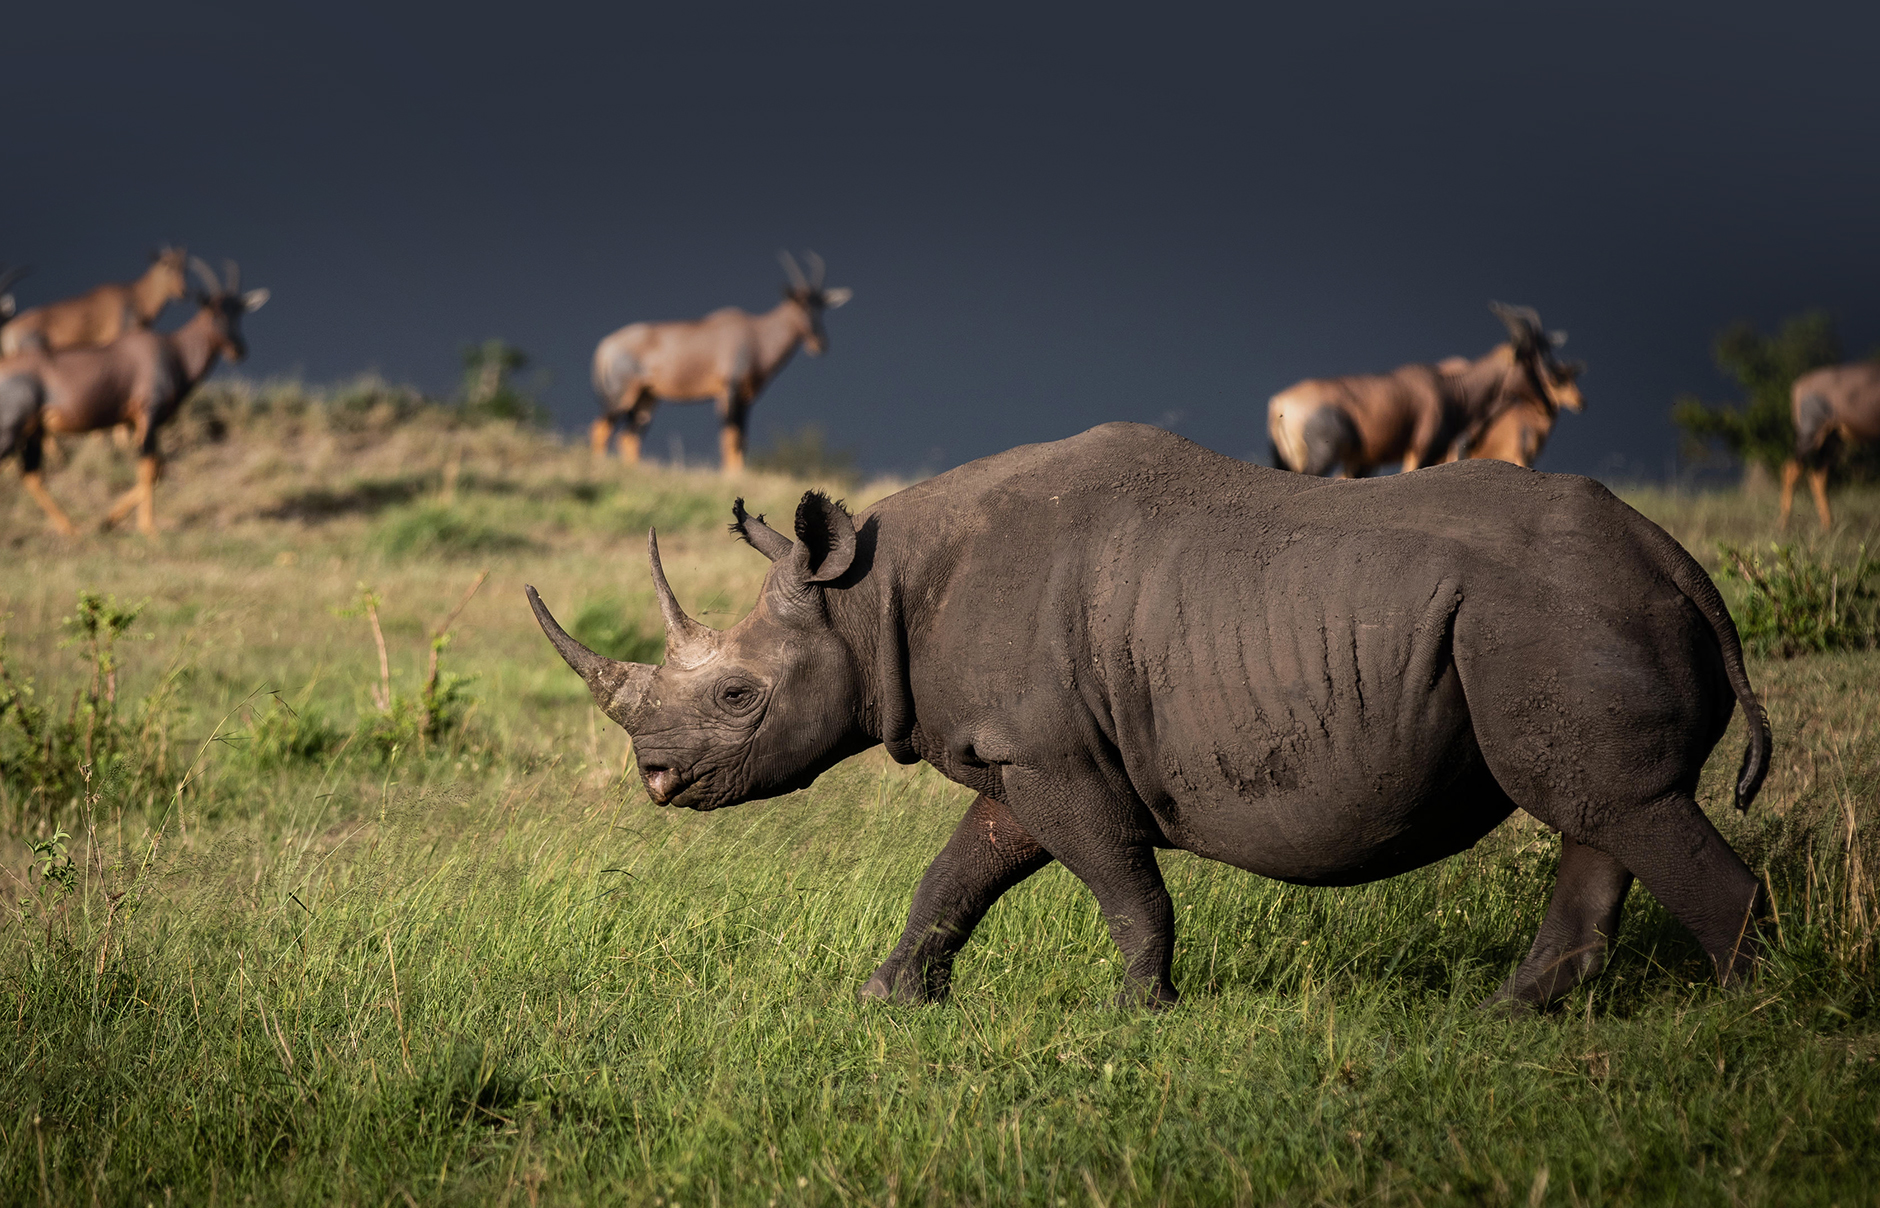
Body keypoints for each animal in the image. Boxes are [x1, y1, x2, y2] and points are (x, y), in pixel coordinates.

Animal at [0, 257, 268, 537]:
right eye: (213, 312)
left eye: (238, 312)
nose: (238, 350)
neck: (171, 349)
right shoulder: (147, 415)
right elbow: (149, 467)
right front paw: (148, 528)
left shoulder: (141, 423)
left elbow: (159, 467)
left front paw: (108, 519)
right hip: (11, 430)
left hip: (34, 431)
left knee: (30, 474)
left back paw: (72, 528)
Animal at [590, 253, 857, 475]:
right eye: (798, 304)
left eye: (820, 306)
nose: (820, 344)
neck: (755, 333)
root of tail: (606, 346)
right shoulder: (729, 391)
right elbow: (730, 436)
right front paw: (732, 478)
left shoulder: (746, 399)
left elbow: (742, 438)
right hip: (621, 396)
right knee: (601, 428)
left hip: (647, 399)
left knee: (629, 437)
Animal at [1270, 302, 1579, 477]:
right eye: (1530, 364)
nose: (1546, 404)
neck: (1447, 387)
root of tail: (1280, 403)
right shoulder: (1421, 450)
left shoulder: (1365, 461)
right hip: (1320, 455)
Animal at [1774, 358, 1880, 529]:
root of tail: (1799, 386)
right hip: (1811, 434)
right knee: (1791, 469)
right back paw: (1783, 526)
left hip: (1833, 438)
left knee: (1819, 474)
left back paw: (1828, 526)